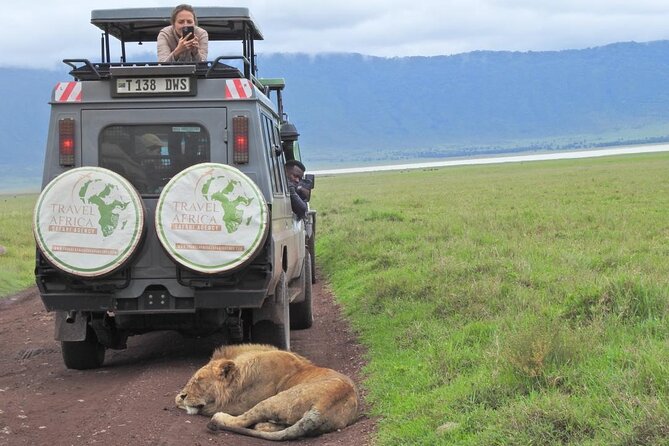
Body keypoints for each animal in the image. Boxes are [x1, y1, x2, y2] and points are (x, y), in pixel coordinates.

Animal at [175, 344, 358, 440]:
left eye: (199, 380)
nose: (184, 395)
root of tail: (322, 407)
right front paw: (179, 398)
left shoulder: (240, 403)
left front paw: (183, 401)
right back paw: (263, 425)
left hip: (274, 400)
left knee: (240, 420)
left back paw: (220, 418)